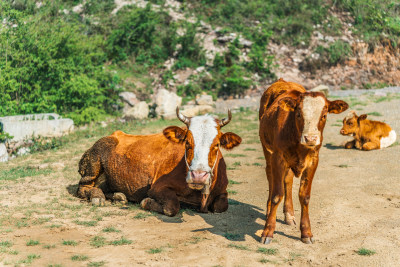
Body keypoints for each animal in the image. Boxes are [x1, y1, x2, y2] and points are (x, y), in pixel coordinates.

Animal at [77, 109, 242, 218]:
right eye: (187, 143)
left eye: (216, 145)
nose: (198, 176)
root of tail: (114, 134)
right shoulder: (157, 187)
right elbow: (172, 206)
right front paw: (146, 202)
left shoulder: (222, 192)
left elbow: (221, 206)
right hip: (95, 159)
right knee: (84, 187)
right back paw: (97, 197)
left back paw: (118, 196)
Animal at [258, 78, 348, 245]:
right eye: (298, 114)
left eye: (324, 115)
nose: (310, 138)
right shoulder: (278, 157)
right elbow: (277, 194)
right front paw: (268, 231)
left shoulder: (313, 161)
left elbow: (304, 196)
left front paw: (306, 232)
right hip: (267, 150)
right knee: (270, 176)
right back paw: (269, 210)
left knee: (287, 180)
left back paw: (289, 214)